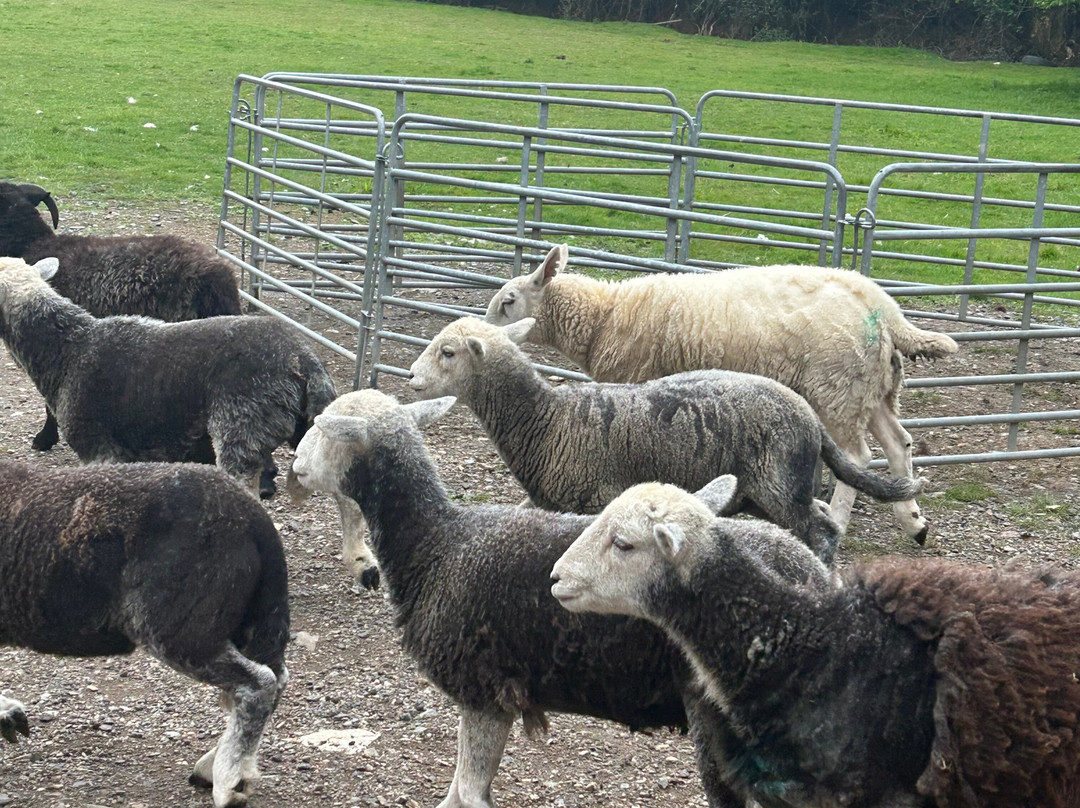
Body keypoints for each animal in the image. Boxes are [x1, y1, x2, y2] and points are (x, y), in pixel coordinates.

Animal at [0, 460, 290, 808]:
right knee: (274, 677)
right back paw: (218, 766)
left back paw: (229, 781)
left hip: (179, 628)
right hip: (250, 618)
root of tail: (254, 518)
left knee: (258, 683)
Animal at [287, 387, 833, 808]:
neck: (436, 545)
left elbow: (467, 796)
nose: (294, 464)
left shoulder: (483, 691)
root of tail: (812, 576)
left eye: (326, 430)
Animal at [408, 317, 923, 564]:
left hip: (780, 485)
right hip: (777, 488)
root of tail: (811, 419)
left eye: (448, 352)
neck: (548, 419)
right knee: (823, 520)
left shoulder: (594, 499)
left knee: (819, 531)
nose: (411, 376)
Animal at [485, 244, 959, 545]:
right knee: (899, 443)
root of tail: (884, 308)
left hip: (837, 386)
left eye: (509, 300)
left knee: (857, 456)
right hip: (871, 387)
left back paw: (844, 518)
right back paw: (915, 523)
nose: (486, 334)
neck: (606, 316)